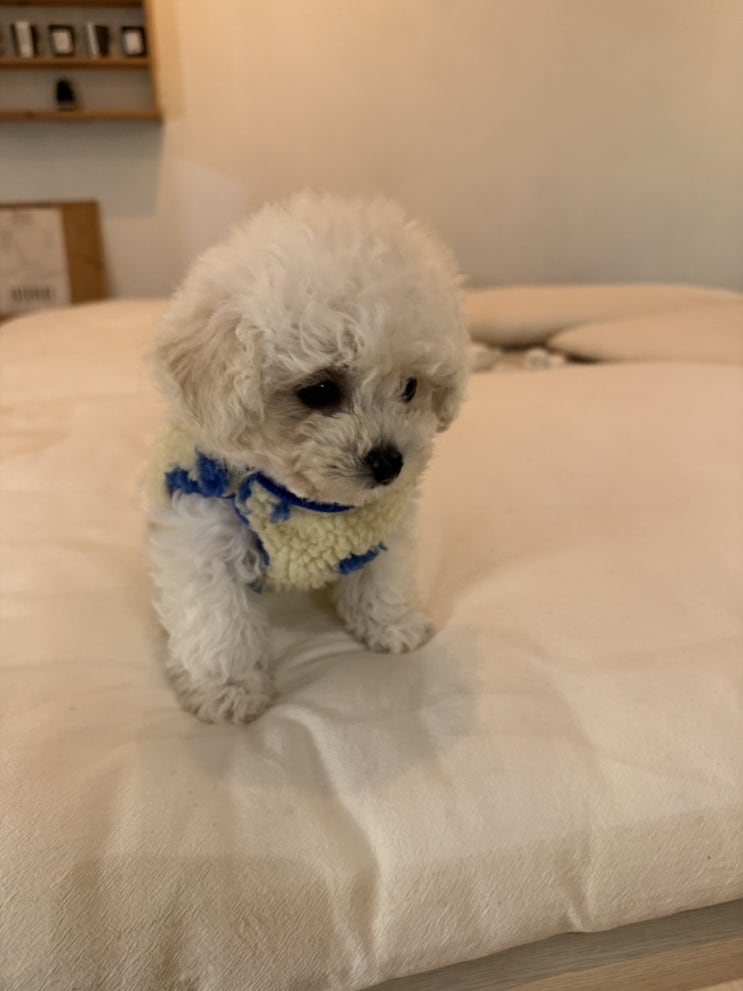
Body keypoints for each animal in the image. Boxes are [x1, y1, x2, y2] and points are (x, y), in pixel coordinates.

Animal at [147, 193, 469, 723]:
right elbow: (217, 621)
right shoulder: (204, 526)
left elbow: (385, 575)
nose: (389, 462)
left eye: (410, 387)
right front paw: (229, 690)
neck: (305, 502)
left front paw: (393, 626)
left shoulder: (384, 524)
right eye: (318, 390)